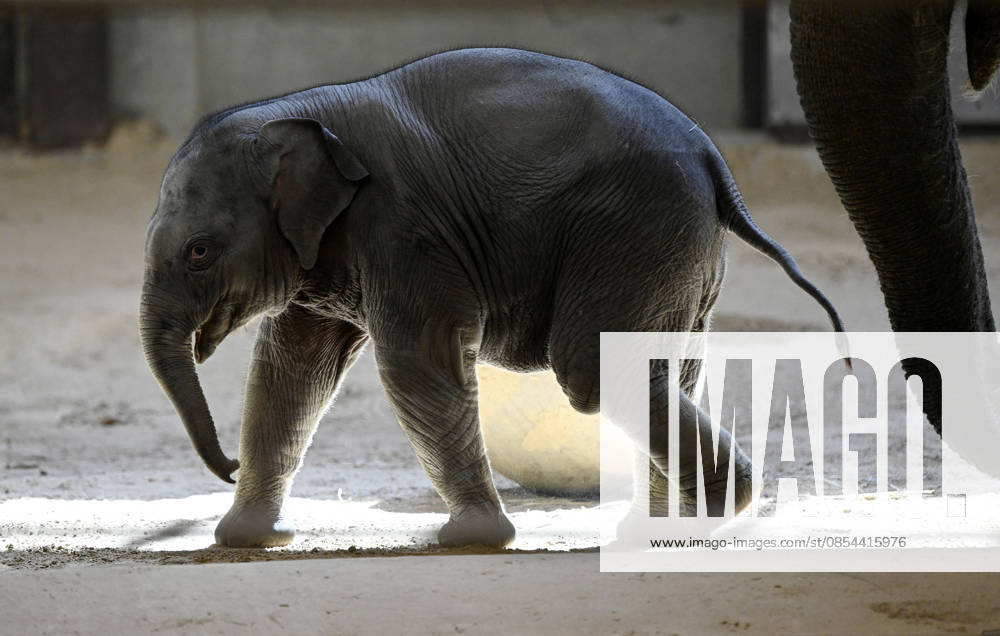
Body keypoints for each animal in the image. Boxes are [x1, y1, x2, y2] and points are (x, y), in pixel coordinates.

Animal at [140, 47, 845, 548]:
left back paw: (712, 514)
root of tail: (715, 163)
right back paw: (661, 530)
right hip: (678, 252)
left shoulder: (404, 232)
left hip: (637, 232)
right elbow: (291, 372)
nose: (228, 465)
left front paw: (471, 539)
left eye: (199, 251)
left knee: (596, 371)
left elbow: (417, 364)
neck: (299, 111)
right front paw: (245, 538)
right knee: (669, 371)